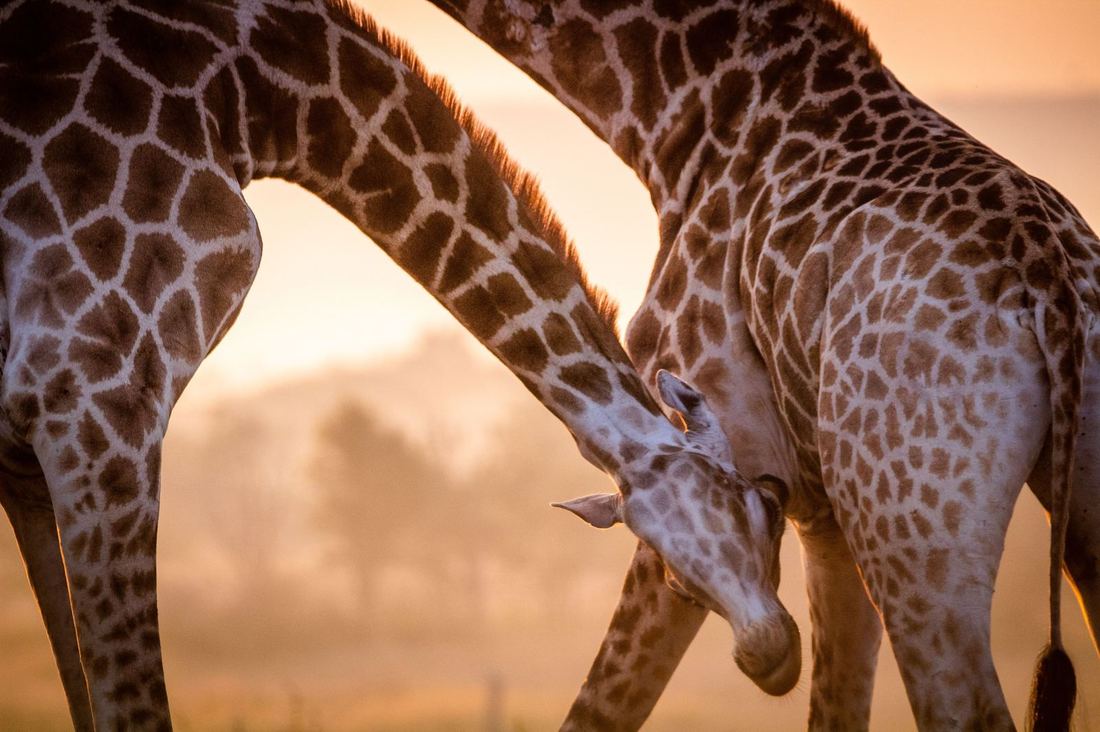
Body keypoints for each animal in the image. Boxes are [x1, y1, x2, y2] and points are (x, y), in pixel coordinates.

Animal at [0, 0, 800, 728]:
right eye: (675, 577)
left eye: (768, 506)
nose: (775, 658)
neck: (252, 89)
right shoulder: (98, 408)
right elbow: (127, 700)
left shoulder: (26, 459)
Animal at [425, 0, 1100, 728]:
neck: (680, 117)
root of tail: (1049, 281)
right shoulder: (818, 510)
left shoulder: (700, 464)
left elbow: (606, 701)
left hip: (910, 538)